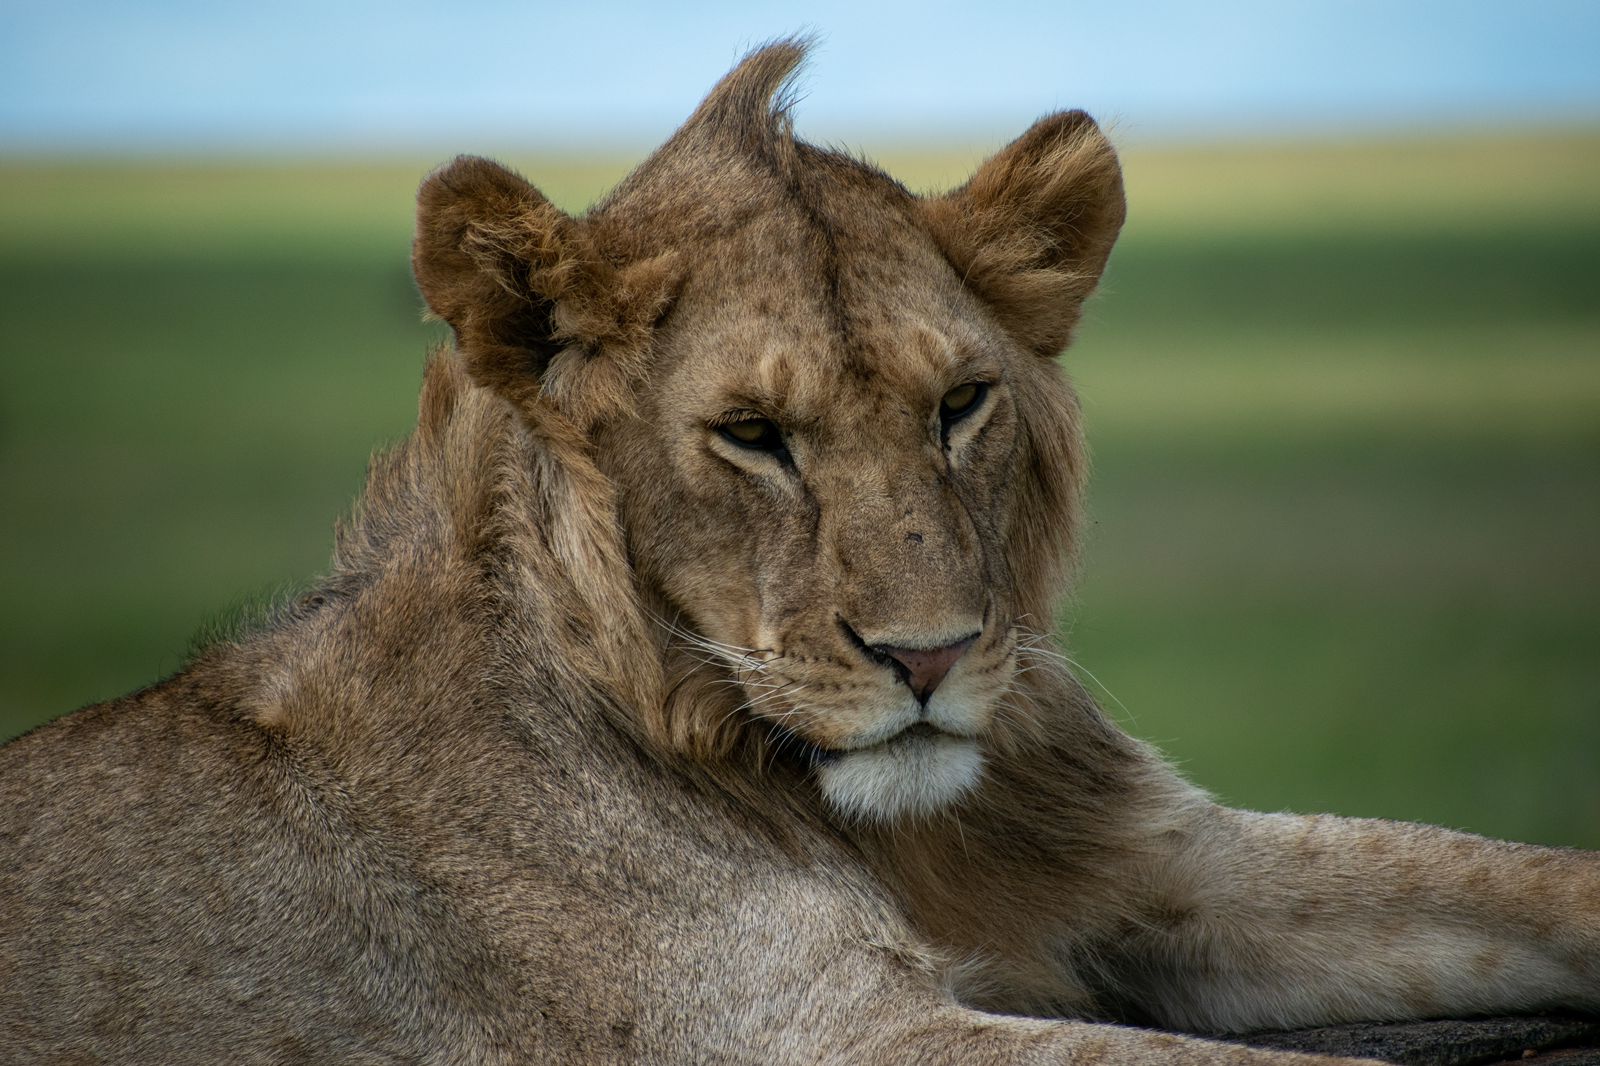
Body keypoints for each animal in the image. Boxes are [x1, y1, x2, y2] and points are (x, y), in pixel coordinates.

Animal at [3, 39, 1600, 1062]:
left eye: (960, 404)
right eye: (753, 433)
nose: (931, 658)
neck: (882, 823)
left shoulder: (1174, 865)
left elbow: (1520, 872)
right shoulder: (811, 1030)